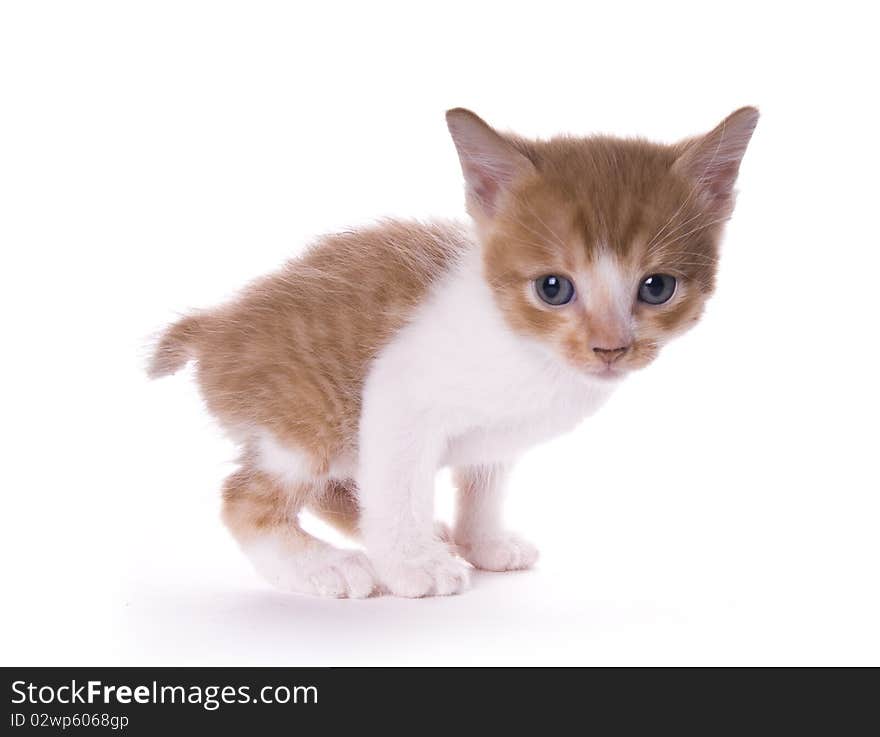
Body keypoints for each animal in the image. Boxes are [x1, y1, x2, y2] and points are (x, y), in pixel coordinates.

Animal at [150, 105, 756, 600]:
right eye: (553, 288)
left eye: (657, 288)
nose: (610, 348)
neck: (529, 352)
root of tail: (216, 324)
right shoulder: (396, 395)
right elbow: (395, 487)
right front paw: (411, 566)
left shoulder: (496, 437)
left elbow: (483, 482)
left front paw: (482, 542)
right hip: (308, 416)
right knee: (245, 499)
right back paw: (329, 567)